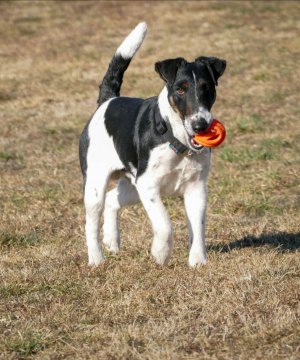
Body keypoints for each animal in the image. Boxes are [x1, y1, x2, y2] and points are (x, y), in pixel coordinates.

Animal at [78, 21, 226, 266]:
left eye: (207, 87)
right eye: (180, 89)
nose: (201, 125)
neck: (175, 139)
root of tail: (108, 100)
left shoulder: (195, 188)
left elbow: (198, 228)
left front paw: (197, 261)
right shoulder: (148, 185)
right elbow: (164, 225)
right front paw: (160, 253)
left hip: (131, 185)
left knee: (112, 200)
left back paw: (112, 241)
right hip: (97, 184)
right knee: (92, 219)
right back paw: (97, 258)